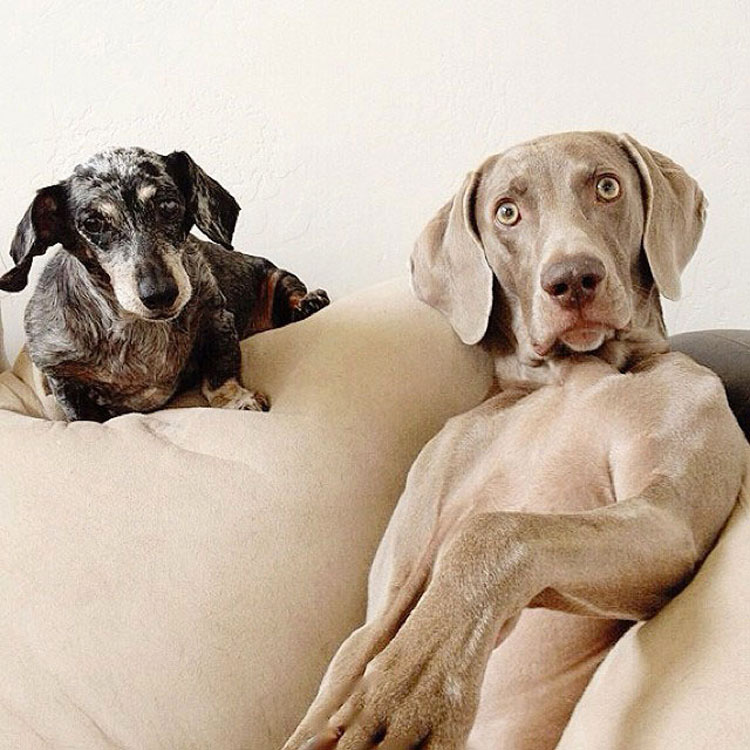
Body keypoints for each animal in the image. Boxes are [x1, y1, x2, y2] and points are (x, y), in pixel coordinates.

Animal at [0, 147, 328, 424]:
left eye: (168, 205)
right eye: (93, 223)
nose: (160, 295)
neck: (137, 329)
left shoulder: (217, 317)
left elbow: (221, 369)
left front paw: (236, 400)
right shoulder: (60, 373)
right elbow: (84, 415)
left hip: (277, 277)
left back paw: (310, 302)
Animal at [284, 132, 748, 748]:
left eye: (607, 186)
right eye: (506, 212)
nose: (572, 280)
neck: (571, 377)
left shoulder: (671, 522)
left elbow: (497, 531)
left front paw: (412, 692)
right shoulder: (402, 571)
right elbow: (346, 668)